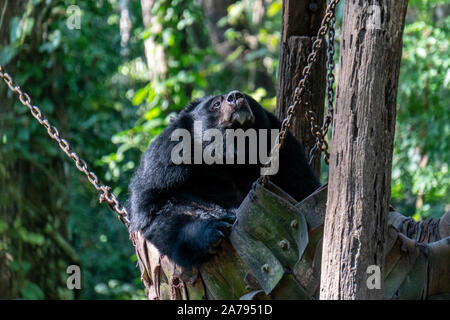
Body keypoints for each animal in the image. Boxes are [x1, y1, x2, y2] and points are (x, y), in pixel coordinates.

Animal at [127, 90, 320, 268]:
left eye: (247, 97)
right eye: (215, 104)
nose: (235, 96)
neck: (231, 158)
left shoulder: (287, 156)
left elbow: (301, 186)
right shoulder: (165, 164)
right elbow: (159, 208)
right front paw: (215, 230)